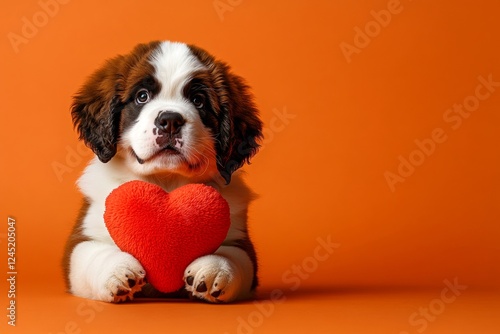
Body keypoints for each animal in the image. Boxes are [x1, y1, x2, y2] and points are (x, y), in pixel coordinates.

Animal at [63, 39, 262, 302]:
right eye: (142, 96)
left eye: (198, 100)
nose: (170, 121)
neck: (165, 182)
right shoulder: (82, 240)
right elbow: (92, 254)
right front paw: (117, 271)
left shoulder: (242, 243)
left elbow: (234, 258)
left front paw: (215, 269)